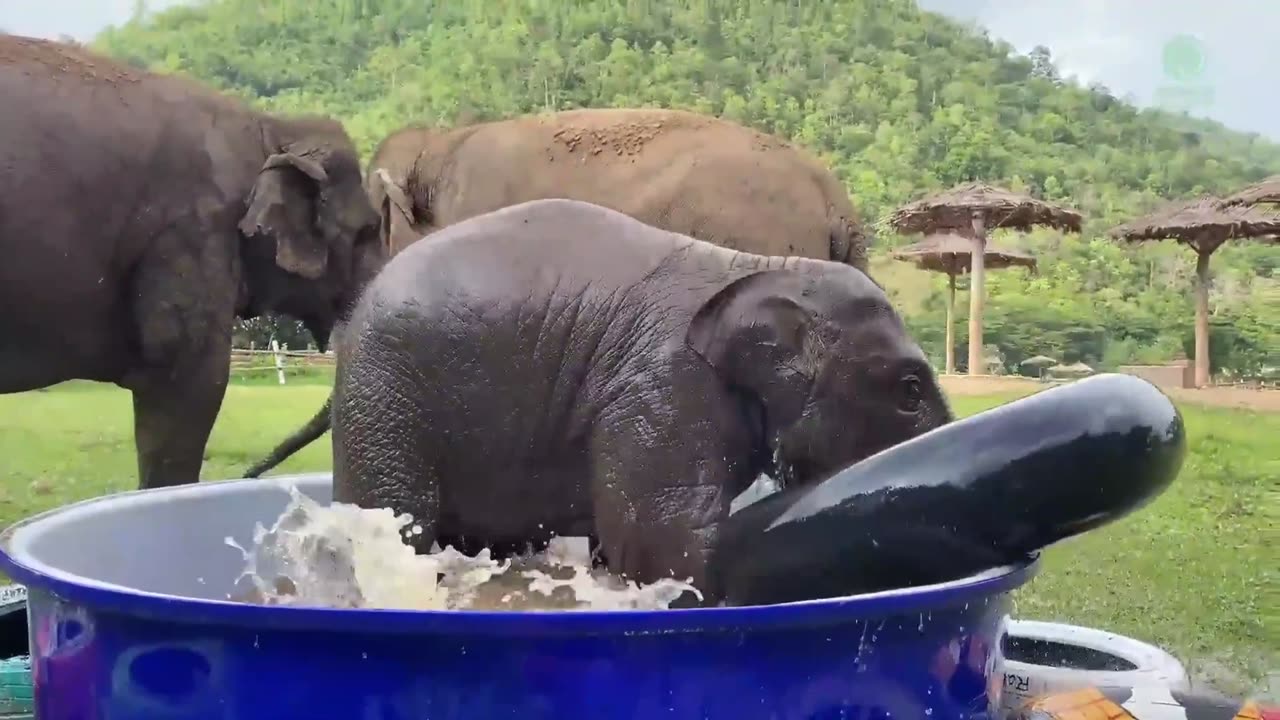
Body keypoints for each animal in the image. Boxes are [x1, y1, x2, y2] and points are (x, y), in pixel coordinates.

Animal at [330, 198, 952, 602]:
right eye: (910, 390)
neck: (759, 270)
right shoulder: (665, 389)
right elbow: (660, 540)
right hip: (383, 396)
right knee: (399, 523)